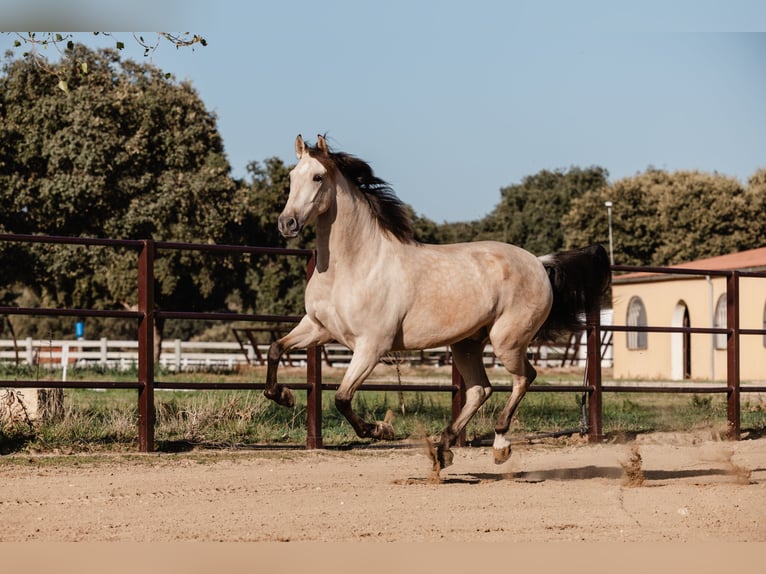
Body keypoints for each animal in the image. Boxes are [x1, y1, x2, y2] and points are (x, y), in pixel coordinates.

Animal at [264, 136, 612, 472]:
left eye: (318, 177)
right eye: (292, 176)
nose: (287, 224)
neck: (354, 265)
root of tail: (539, 263)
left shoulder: (372, 346)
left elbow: (342, 397)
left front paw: (381, 430)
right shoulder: (318, 328)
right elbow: (276, 349)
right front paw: (284, 396)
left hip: (507, 341)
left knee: (524, 378)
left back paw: (499, 445)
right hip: (466, 344)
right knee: (479, 389)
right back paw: (443, 450)